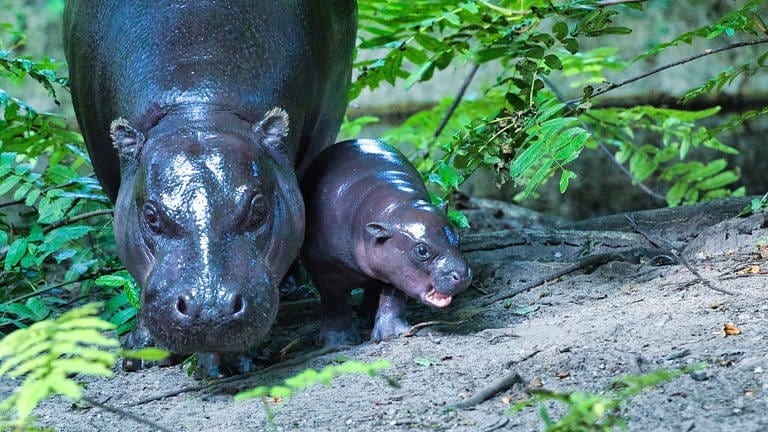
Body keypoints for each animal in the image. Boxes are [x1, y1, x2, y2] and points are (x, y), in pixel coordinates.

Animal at [63, 0, 356, 372]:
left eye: (259, 209)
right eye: (151, 216)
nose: (210, 309)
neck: (198, 107)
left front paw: (229, 362)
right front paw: (142, 353)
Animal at [302, 140, 472, 346]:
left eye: (457, 236)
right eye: (422, 250)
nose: (463, 274)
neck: (395, 207)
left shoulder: (395, 268)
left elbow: (393, 296)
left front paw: (393, 334)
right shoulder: (326, 268)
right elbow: (335, 302)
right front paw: (339, 343)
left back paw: (367, 317)